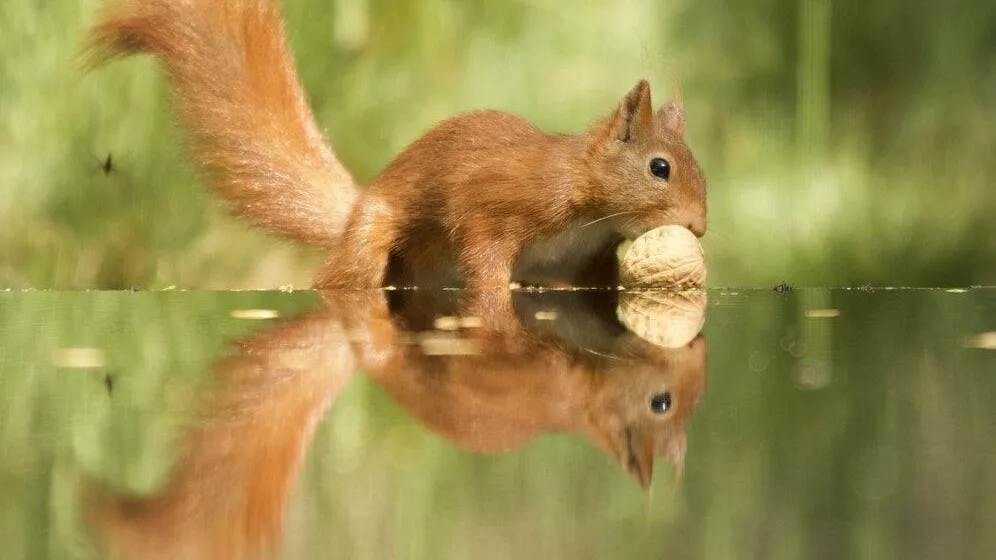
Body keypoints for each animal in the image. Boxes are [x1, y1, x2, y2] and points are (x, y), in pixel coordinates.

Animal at [85, 0, 708, 288]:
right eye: (659, 168)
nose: (700, 227)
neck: (581, 196)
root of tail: (357, 208)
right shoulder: (498, 204)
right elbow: (483, 258)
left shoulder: (585, 264)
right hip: (374, 241)